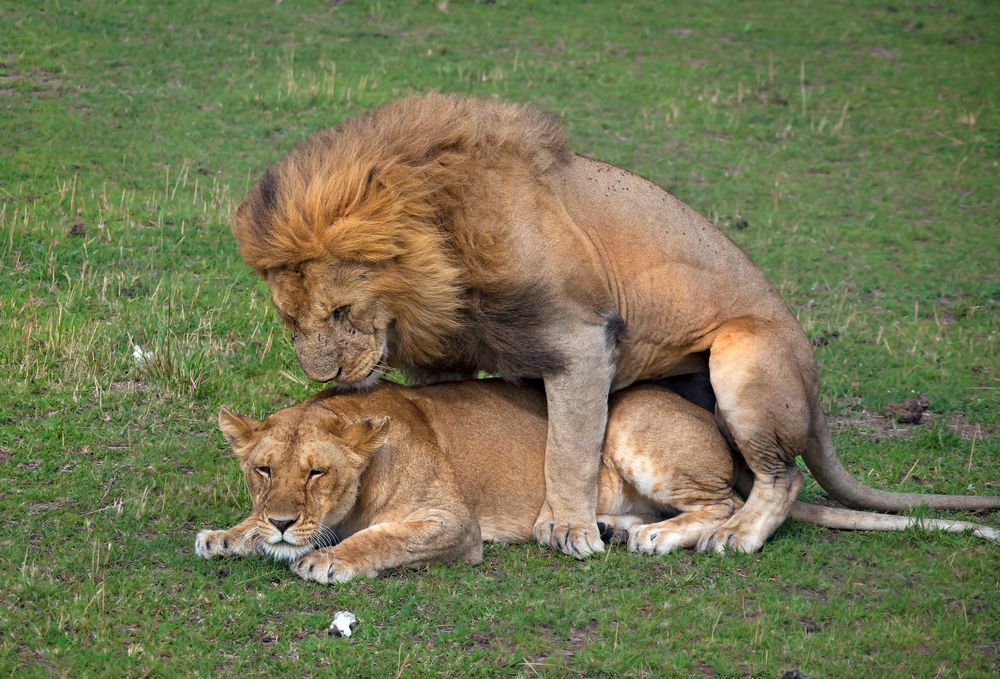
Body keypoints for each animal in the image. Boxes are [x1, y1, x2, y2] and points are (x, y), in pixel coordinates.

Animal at [193, 382, 992, 584]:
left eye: (317, 471)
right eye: (263, 469)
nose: (283, 522)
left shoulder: (452, 523)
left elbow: (379, 540)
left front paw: (326, 557)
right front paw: (231, 533)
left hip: (635, 421)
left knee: (730, 502)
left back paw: (665, 538)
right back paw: (614, 525)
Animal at [232, 93, 992, 556]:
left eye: (340, 311)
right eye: (290, 320)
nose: (327, 376)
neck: (441, 240)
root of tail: (813, 387)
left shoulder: (580, 341)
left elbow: (568, 446)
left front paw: (566, 526)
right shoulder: (451, 354)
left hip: (742, 350)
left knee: (780, 477)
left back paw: (732, 536)